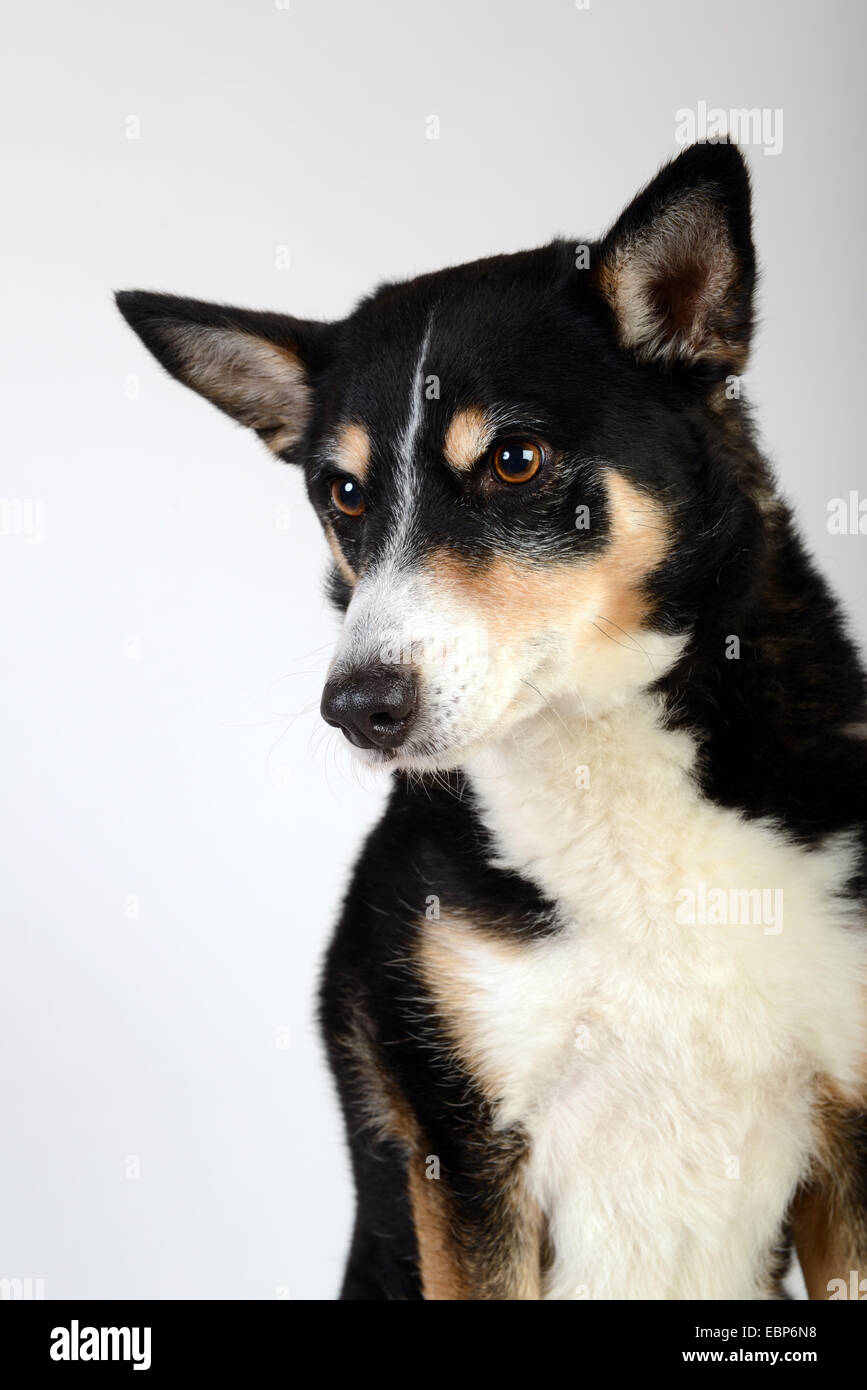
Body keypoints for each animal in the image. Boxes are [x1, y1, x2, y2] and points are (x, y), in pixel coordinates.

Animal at [116, 146, 867, 1295]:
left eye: (515, 460)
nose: (359, 707)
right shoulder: (463, 1149)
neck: (607, 764)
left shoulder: (853, 1136)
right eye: (343, 494)